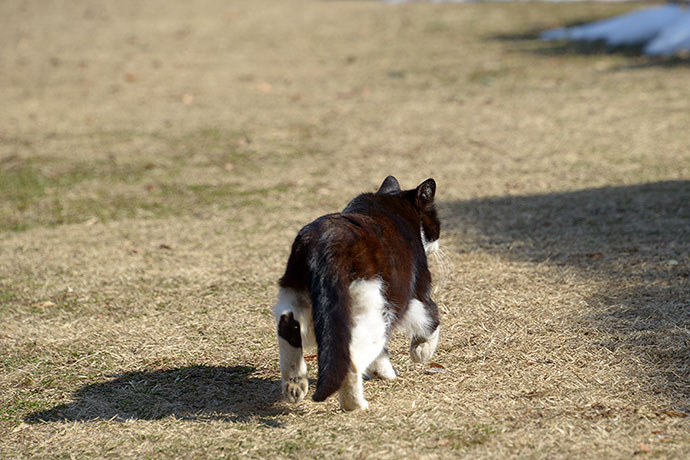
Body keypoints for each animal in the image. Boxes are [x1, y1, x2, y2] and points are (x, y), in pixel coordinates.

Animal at [272, 175, 438, 410]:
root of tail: (327, 246)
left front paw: (382, 372)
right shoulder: (417, 292)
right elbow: (431, 318)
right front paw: (421, 351)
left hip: (294, 290)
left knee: (287, 324)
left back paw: (295, 385)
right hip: (370, 307)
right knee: (350, 357)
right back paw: (355, 405)